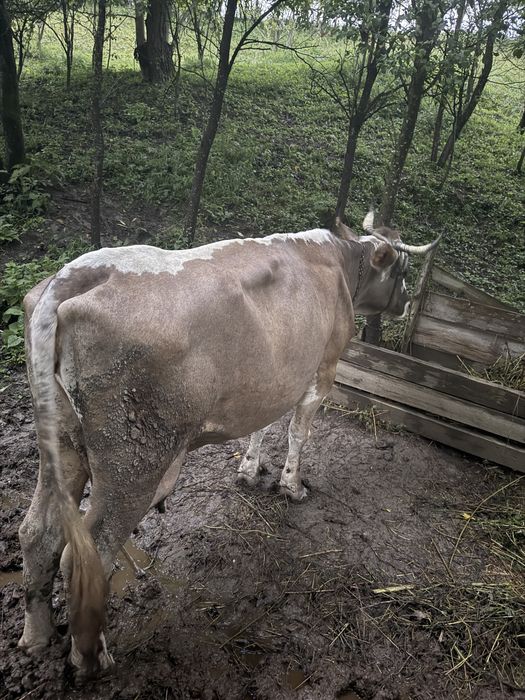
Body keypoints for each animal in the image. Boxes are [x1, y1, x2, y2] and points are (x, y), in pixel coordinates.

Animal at [18, 210, 438, 679]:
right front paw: (291, 486)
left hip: (62, 442)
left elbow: (262, 427)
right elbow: (298, 433)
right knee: (85, 556)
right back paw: (91, 657)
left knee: (37, 533)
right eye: (402, 269)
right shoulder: (323, 369)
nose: (405, 303)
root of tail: (72, 275)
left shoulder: (271, 382)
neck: (339, 263)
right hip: (133, 461)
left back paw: (37, 637)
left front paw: (250, 468)